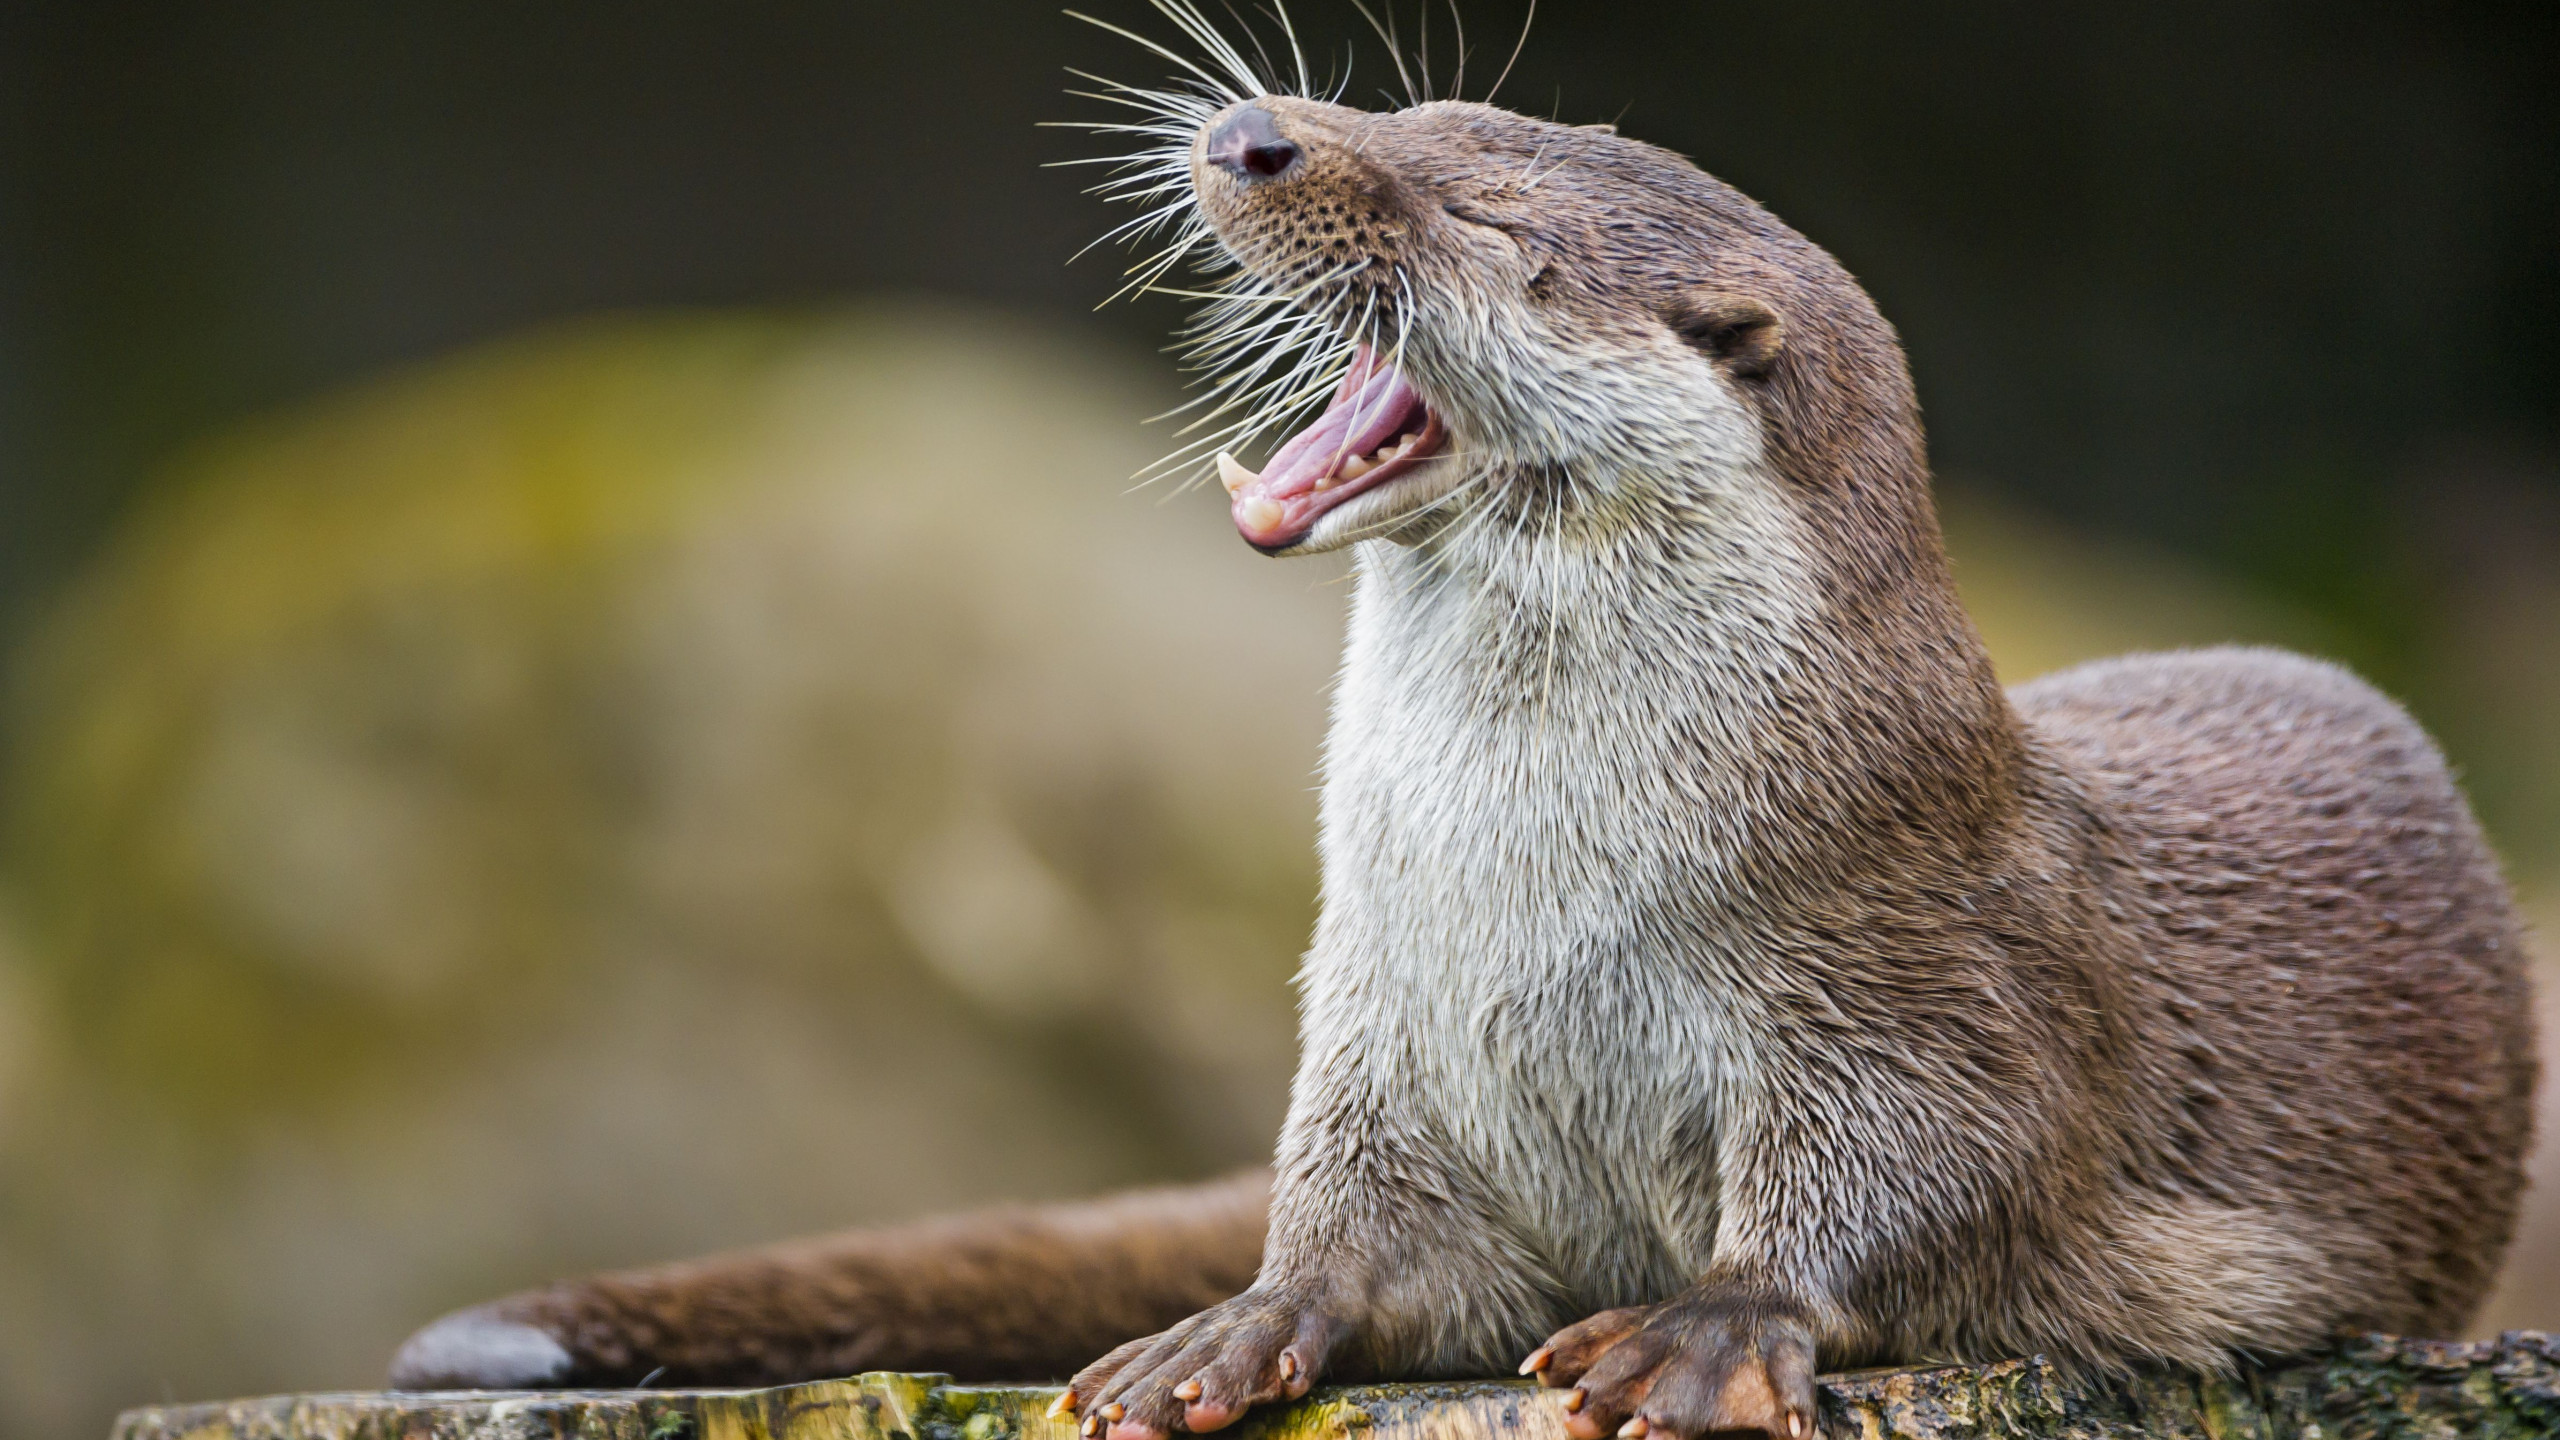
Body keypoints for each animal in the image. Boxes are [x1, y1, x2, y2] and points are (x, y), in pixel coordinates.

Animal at [390, 27, 2537, 1440]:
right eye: (1415, 110)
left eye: (1483, 213)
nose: (1258, 132)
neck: (1537, 887)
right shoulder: (1380, 1019)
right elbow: (1361, 1230)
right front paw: (1239, 1320)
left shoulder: (1915, 966)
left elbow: (1932, 1178)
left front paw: (1705, 1326)